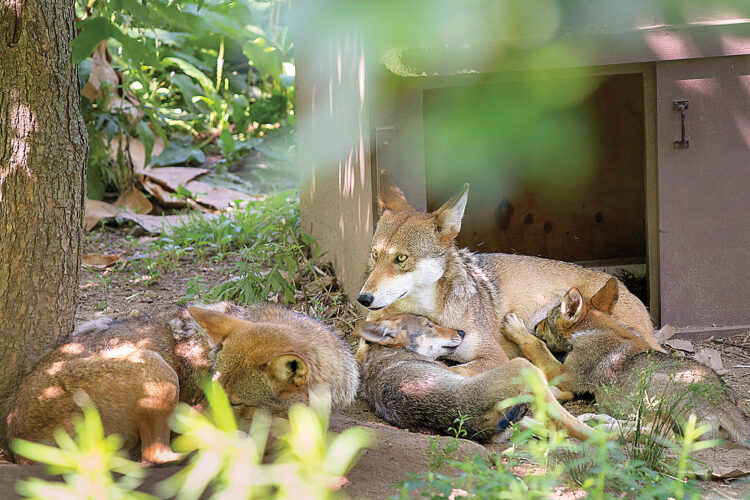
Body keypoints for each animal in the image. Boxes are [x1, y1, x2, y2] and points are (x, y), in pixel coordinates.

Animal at [7, 303, 358, 463]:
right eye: (211, 392)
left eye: (236, 403)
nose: (187, 421)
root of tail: (13, 436)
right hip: (159, 372)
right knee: (155, 456)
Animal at [356, 171, 662, 375]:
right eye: (375, 255)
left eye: (401, 259)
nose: (363, 299)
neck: (430, 314)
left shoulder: (492, 356)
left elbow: (452, 371)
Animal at [503, 278, 750, 443]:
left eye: (547, 319)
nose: (535, 325)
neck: (597, 328)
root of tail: (722, 401)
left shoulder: (564, 374)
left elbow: (538, 346)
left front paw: (516, 328)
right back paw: (599, 419)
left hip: (651, 387)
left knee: (654, 431)